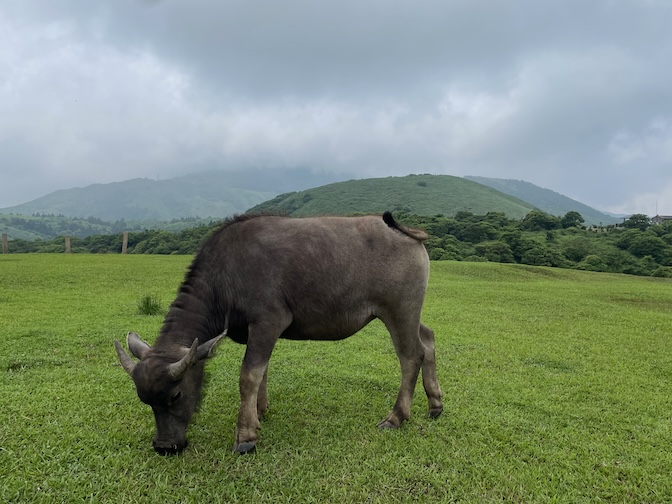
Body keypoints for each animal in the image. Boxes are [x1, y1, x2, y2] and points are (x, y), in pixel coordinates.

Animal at [115, 211, 440, 454]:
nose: (165, 446)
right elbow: (262, 372)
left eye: (175, 396)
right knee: (428, 340)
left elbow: (249, 375)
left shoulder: (268, 323)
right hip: (410, 315)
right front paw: (259, 412)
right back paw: (435, 403)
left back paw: (396, 417)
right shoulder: (259, 334)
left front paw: (246, 436)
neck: (226, 276)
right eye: (145, 400)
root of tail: (405, 232)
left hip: (398, 312)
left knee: (411, 357)